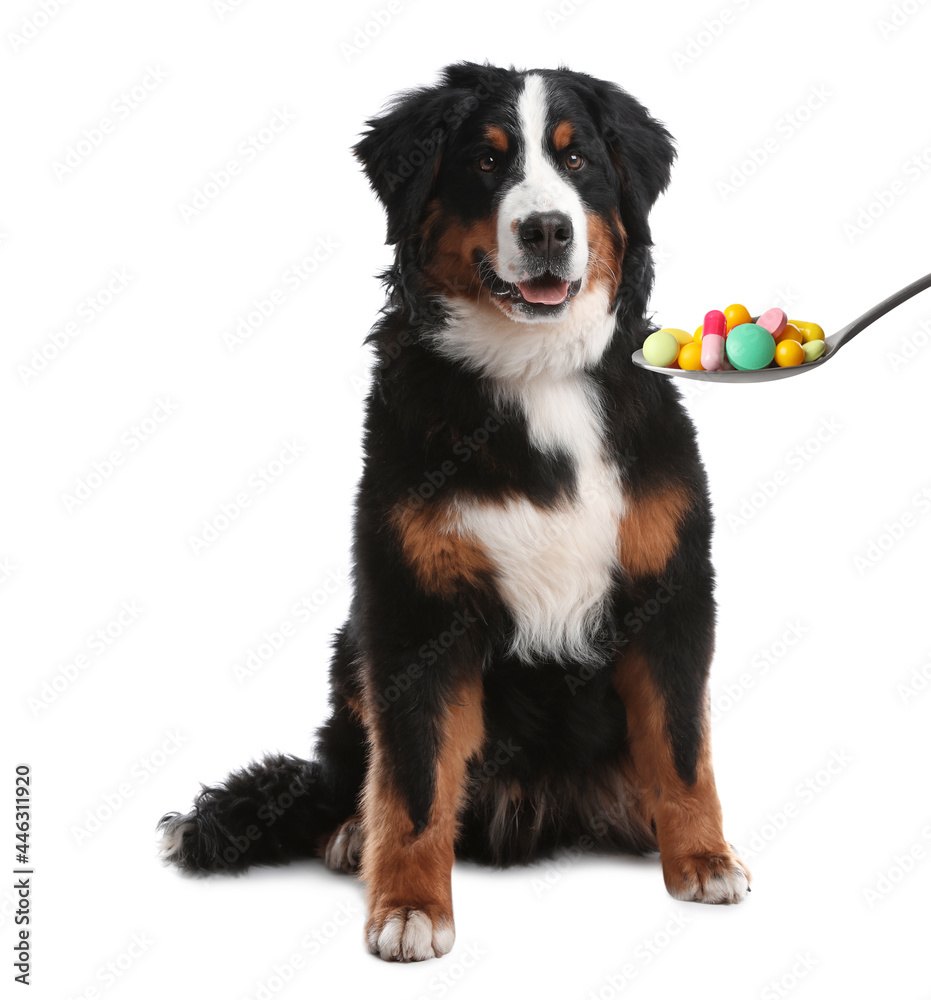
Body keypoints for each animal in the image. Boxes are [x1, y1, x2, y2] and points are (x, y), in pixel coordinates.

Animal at [160, 60, 752, 960]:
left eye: (576, 160)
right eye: (485, 160)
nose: (545, 230)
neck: (537, 376)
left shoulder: (670, 586)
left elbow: (682, 750)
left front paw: (704, 860)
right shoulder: (414, 607)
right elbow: (411, 780)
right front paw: (406, 906)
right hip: (350, 650)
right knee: (352, 774)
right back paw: (349, 834)